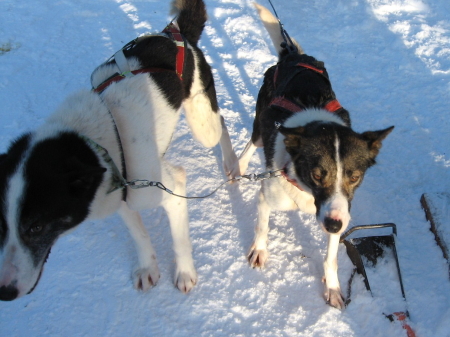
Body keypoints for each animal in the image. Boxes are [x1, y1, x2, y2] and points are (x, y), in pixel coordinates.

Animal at [0, 0, 239, 300]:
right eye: (1, 224)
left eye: (36, 226)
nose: (4, 291)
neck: (100, 139)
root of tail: (175, 33)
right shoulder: (121, 193)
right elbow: (139, 235)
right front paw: (148, 267)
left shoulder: (169, 189)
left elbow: (180, 241)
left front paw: (185, 273)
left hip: (202, 125)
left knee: (221, 124)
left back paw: (232, 164)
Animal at [239, 3, 394, 308]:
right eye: (317, 174)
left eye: (354, 177)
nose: (333, 224)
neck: (305, 192)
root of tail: (294, 55)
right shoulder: (267, 197)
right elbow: (262, 227)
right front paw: (260, 250)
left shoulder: (339, 213)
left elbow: (331, 258)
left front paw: (332, 287)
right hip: (260, 126)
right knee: (252, 142)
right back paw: (237, 165)